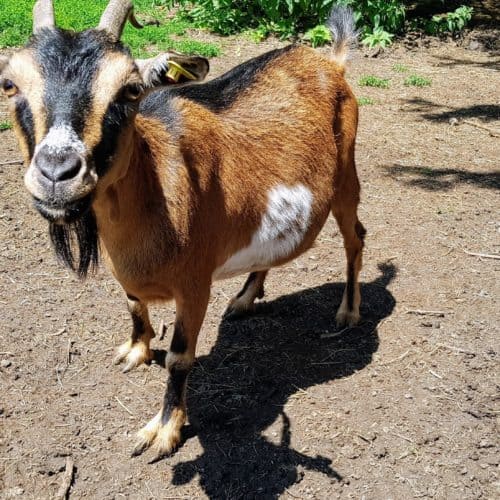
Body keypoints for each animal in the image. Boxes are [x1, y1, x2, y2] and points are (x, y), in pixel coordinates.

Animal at [0, 0, 368, 460]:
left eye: (131, 90)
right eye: (9, 83)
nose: (56, 173)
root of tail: (331, 62)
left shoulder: (194, 284)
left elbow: (179, 357)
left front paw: (163, 432)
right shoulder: (130, 275)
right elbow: (133, 306)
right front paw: (135, 351)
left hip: (346, 176)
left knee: (356, 237)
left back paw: (348, 312)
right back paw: (244, 299)